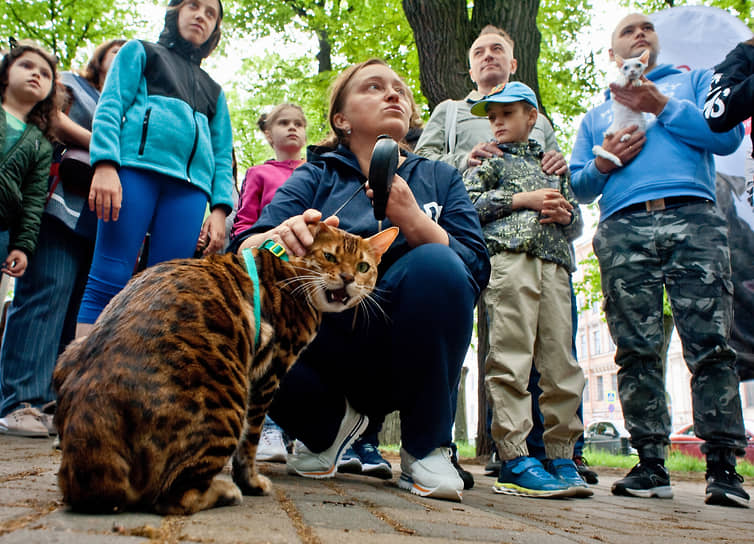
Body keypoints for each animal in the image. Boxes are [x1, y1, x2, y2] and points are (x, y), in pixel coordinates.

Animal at [52, 222, 396, 516]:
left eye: (363, 267)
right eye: (329, 256)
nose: (348, 278)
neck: (290, 269)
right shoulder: (269, 373)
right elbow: (250, 443)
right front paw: (252, 482)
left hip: (70, 351)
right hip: (229, 401)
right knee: (174, 498)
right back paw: (226, 490)